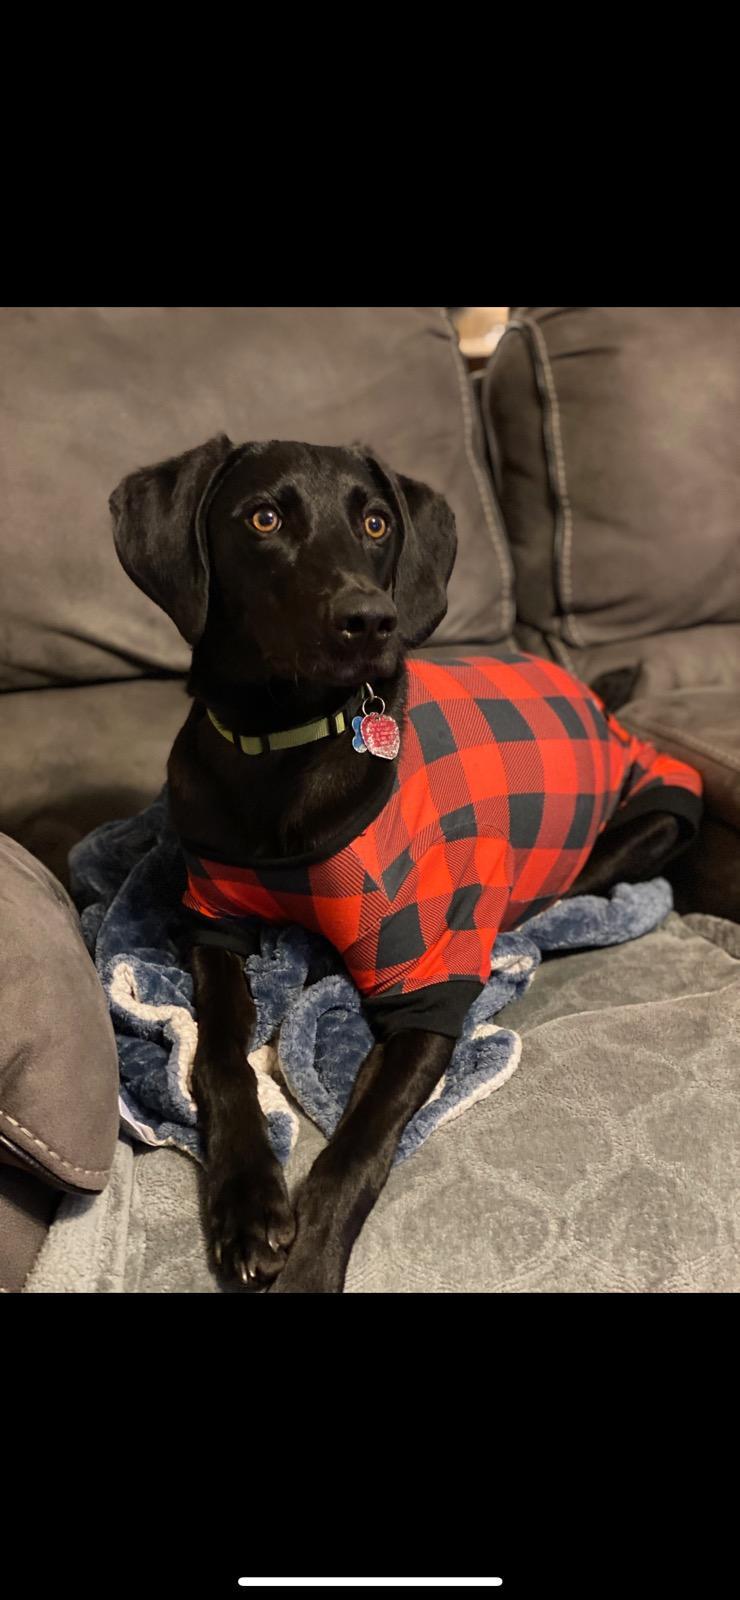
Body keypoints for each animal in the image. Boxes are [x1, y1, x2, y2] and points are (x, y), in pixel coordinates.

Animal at [111, 435, 704, 1286]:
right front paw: (248, 1205)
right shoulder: (212, 919)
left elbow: (356, 1150)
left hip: (645, 824)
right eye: (263, 518)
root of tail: (590, 693)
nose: (370, 620)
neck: (285, 746)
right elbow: (219, 1059)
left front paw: (308, 1265)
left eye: (376, 522)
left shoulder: (425, 985)